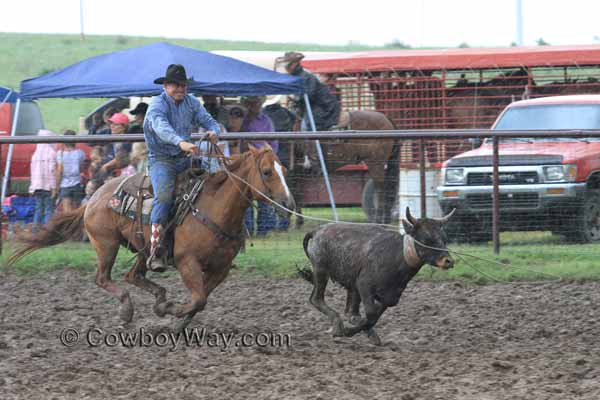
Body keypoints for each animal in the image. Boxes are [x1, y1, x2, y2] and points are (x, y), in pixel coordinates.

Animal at [7, 146, 292, 332]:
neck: (213, 209)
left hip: (144, 249)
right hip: (106, 244)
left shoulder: (220, 269)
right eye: (267, 171)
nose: (288, 203)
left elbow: (200, 301)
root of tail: (94, 196)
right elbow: (198, 298)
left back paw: (158, 297)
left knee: (132, 275)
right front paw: (168, 311)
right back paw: (127, 309)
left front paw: (174, 321)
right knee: (103, 278)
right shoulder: (187, 262)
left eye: (285, 169)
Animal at [300, 208, 454, 346]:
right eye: (427, 239)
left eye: (444, 238)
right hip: (321, 271)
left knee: (351, 312)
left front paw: (362, 332)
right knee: (317, 299)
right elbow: (371, 313)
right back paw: (338, 325)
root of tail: (317, 231)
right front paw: (348, 331)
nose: (448, 261)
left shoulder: (389, 298)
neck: (396, 256)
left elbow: (373, 317)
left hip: (349, 284)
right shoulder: (364, 285)